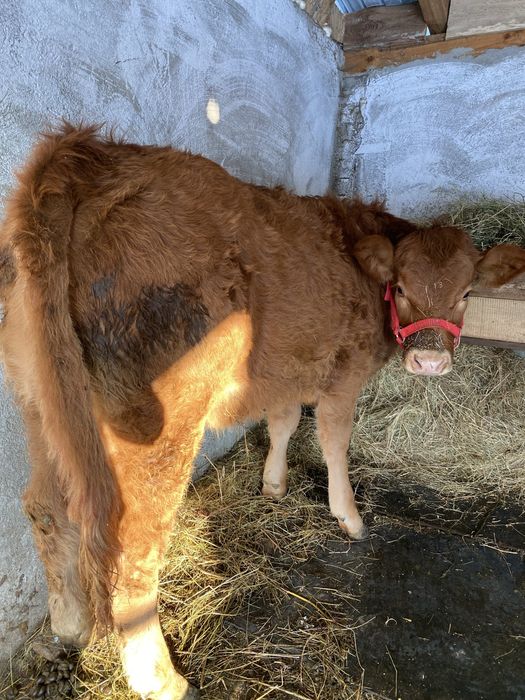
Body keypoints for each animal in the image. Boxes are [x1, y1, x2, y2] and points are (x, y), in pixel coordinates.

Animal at [1, 124, 524, 700]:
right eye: (402, 287)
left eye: (466, 292)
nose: (429, 361)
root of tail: (89, 157)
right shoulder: (343, 374)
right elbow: (333, 440)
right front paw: (349, 516)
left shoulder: (287, 368)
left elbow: (284, 422)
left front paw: (273, 485)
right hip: (156, 422)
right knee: (133, 547)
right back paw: (161, 679)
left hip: (38, 400)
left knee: (48, 507)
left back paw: (70, 627)